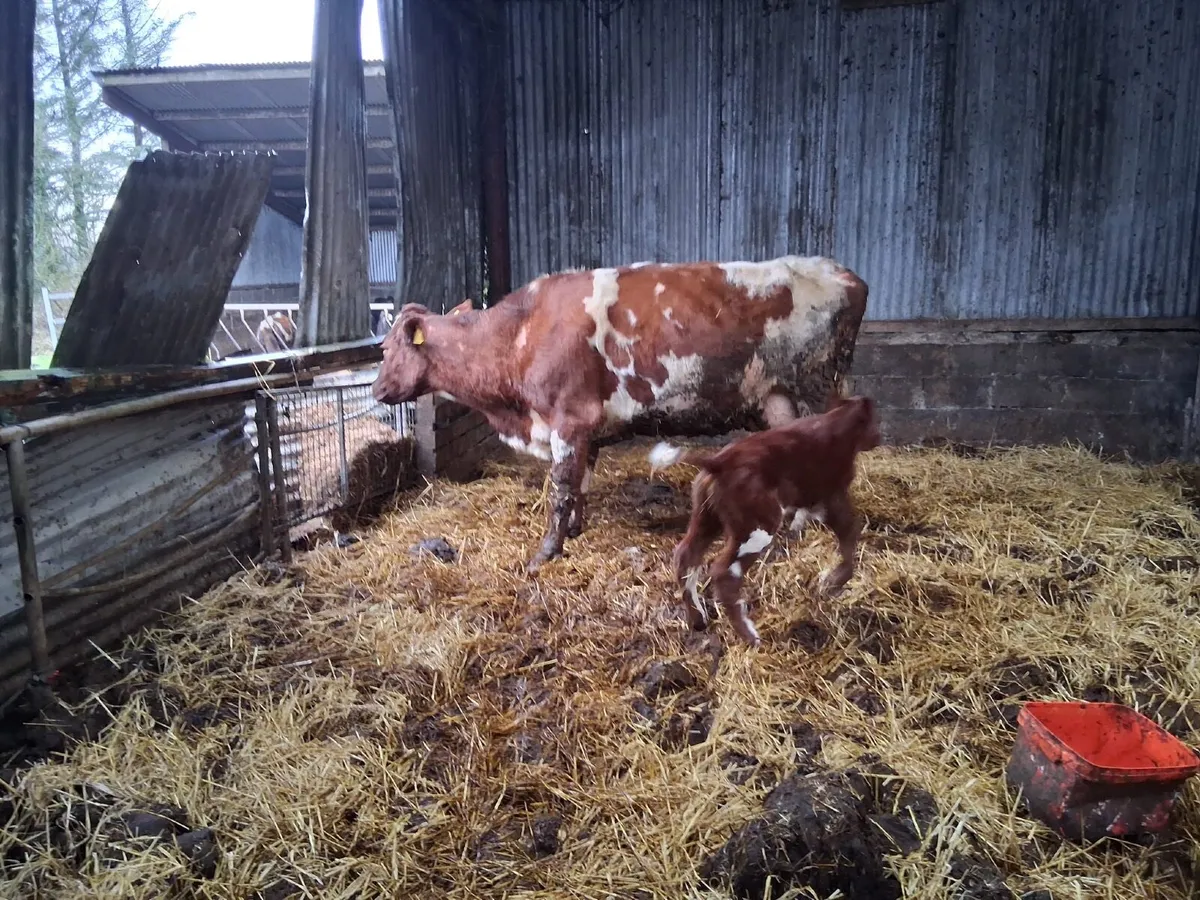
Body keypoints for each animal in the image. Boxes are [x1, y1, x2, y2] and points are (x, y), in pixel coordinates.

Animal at [371, 255, 869, 573]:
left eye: (387, 349)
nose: (376, 390)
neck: (519, 332)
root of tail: (844, 274)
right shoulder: (582, 428)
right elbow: (581, 483)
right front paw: (575, 531)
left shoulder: (569, 418)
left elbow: (561, 487)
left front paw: (545, 553)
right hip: (779, 399)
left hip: (813, 389)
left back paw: (801, 526)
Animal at [648, 394, 881, 647]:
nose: (879, 437)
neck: (838, 422)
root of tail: (720, 462)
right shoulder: (833, 497)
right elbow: (849, 536)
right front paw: (832, 582)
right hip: (758, 525)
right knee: (723, 573)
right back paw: (751, 636)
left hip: (707, 517)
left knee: (685, 557)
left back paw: (698, 619)